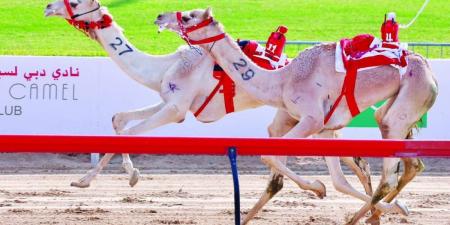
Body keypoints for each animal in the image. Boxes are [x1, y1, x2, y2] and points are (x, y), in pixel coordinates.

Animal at [156, 7, 440, 224]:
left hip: (409, 99)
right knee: (405, 157)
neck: (282, 80)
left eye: (188, 17)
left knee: (388, 176)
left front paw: (318, 187)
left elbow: (268, 154)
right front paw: (324, 188)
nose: (159, 16)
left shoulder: (311, 119)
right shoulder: (324, 128)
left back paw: (376, 213)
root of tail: (430, 71)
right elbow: (338, 181)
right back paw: (371, 214)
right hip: (393, 109)